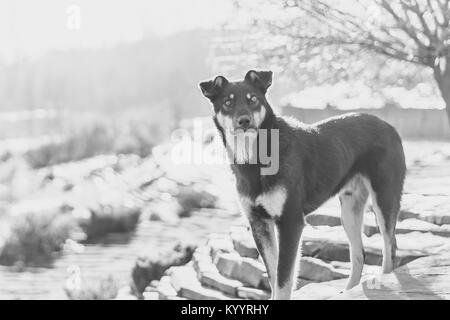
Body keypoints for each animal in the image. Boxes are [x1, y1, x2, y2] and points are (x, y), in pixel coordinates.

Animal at [199, 70, 406, 300]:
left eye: (253, 99)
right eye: (227, 102)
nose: (244, 121)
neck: (256, 157)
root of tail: (390, 127)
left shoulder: (290, 222)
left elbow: (283, 278)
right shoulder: (259, 222)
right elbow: (273, 274)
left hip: (384, 199)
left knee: (389, 249)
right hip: (349, 210)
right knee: (359, 253)